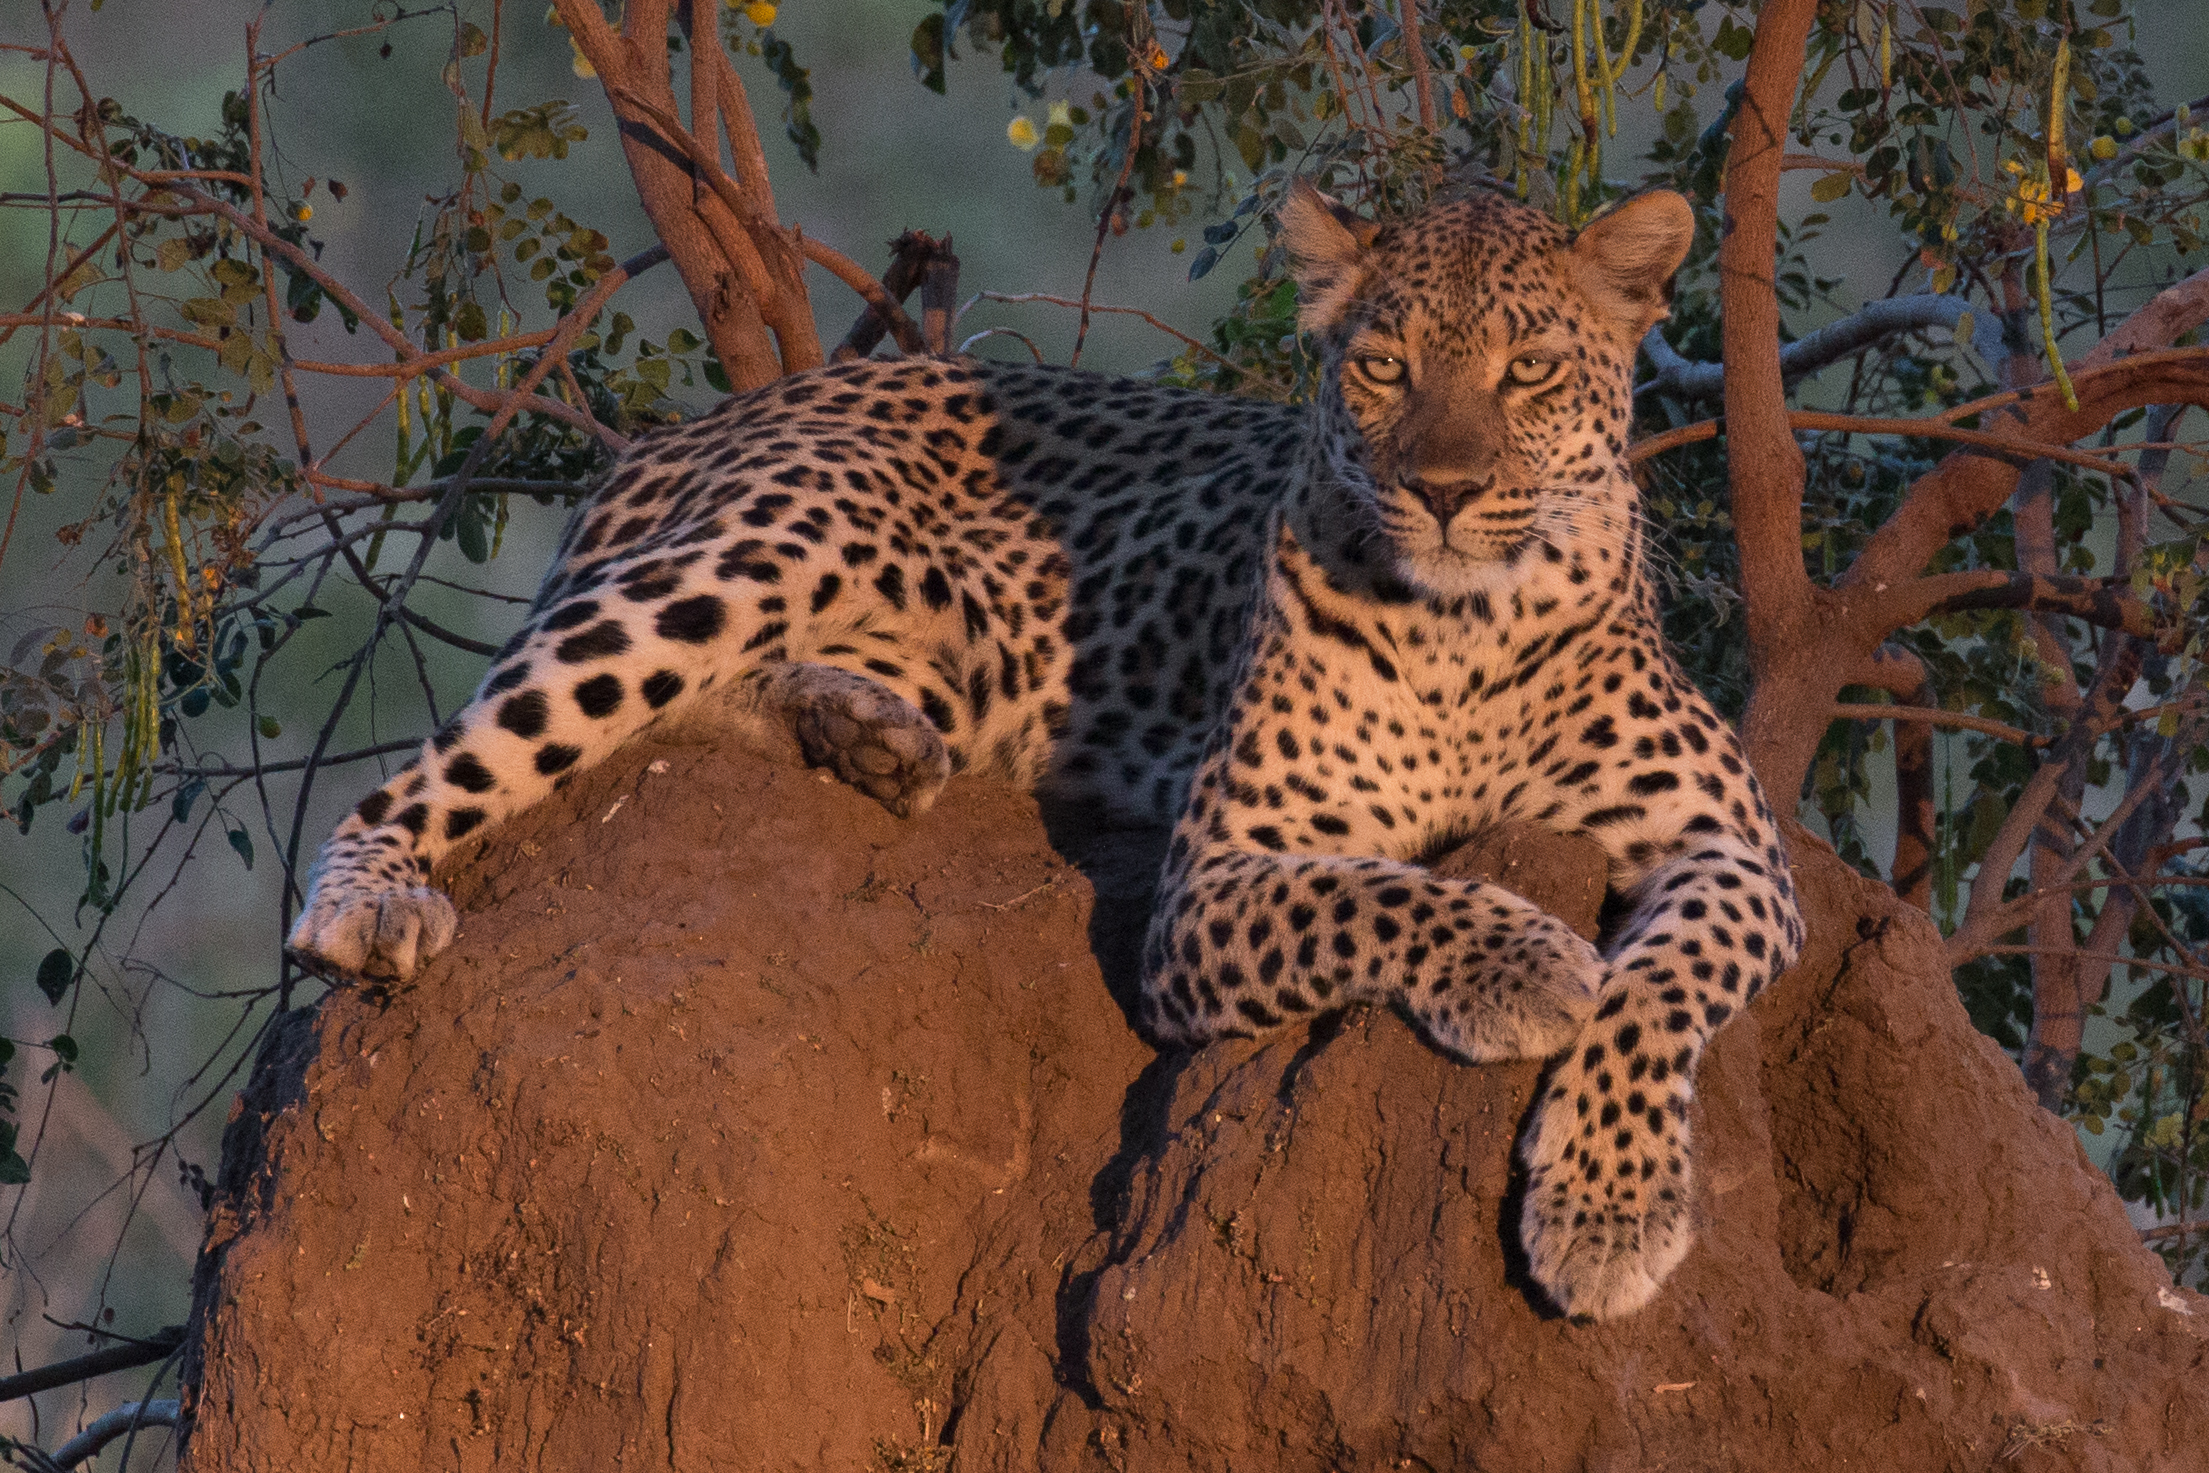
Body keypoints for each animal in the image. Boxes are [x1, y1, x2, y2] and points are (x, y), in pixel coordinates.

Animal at [289, 175, 1793, 1325]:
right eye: (1382, 367)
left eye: (1528, 370)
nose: (1442, 489)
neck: (1467, 630)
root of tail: (701, 422)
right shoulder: (1213, 885)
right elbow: (1382, 892)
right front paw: (1530, 963)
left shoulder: (1739, 854)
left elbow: (1660, 990)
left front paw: (1607, 1208)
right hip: (758, 544)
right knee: (440, 764)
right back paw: (373, 902)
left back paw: (868, 735)